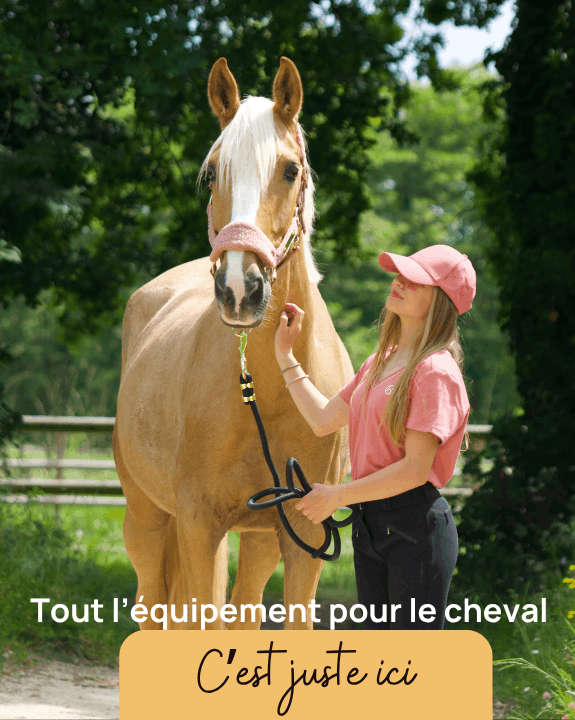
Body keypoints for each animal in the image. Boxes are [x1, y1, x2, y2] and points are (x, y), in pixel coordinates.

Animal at [112, 56, 354, 630]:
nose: (240, 290)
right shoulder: (198, 525)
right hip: (146, 519)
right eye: (212, 172)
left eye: (290, 170)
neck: (262, 392)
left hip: (259, 537)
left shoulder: (303, 536)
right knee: (152, 607)